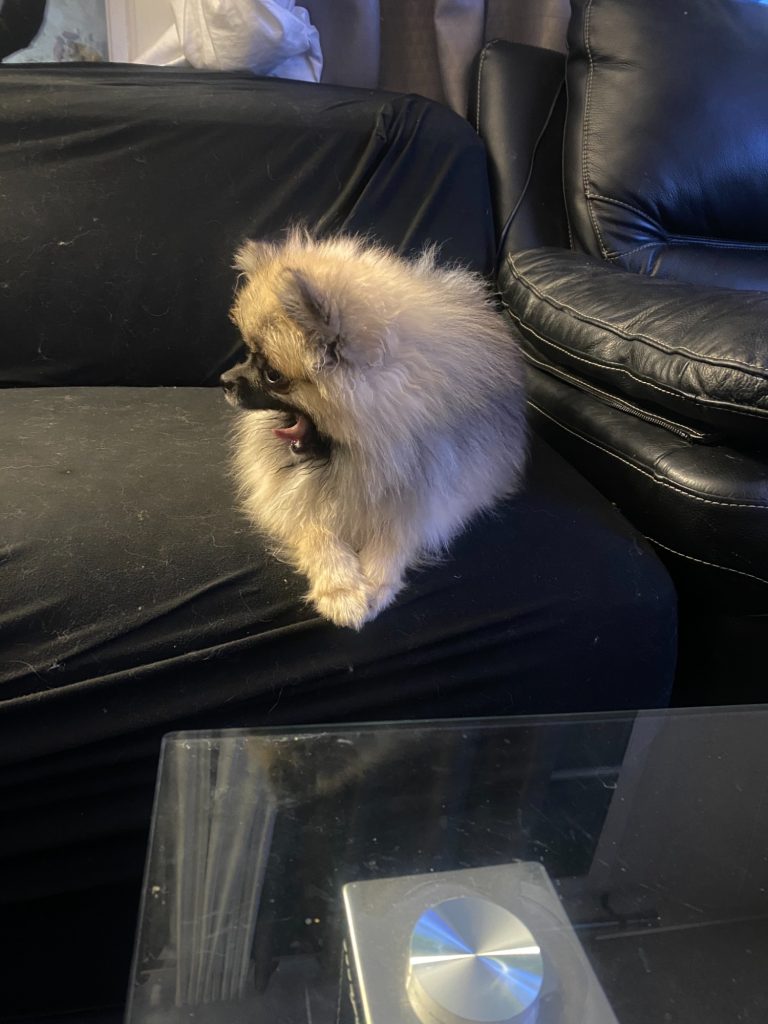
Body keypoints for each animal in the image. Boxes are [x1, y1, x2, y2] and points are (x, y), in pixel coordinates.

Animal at [221, 230, 527, 629]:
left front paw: (376, 581)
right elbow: (315, 529)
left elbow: (397, 532)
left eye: (273, 374)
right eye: (247, 352)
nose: (225, 381)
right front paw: (342, 588)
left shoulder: (432, 495)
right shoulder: (295, 502)